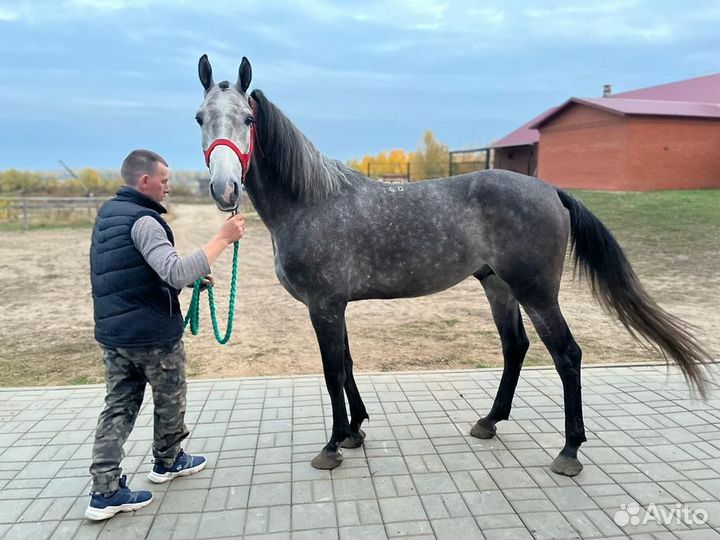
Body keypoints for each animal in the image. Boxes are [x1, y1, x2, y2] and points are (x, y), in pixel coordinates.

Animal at [194, 54, 711, 476]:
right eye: (200, 117)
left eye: (248, 117)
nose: (224, 188)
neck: (312, 202)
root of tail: (550, 190)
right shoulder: (335, 305)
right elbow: (347, 363)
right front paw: (355, 430)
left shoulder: (324, 305)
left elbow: (332, 371)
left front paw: (333, 445)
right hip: (498, 286)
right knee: (515, 348)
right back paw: (489, 421)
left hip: (537, 293)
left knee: (567, 355)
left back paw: (569, 452)